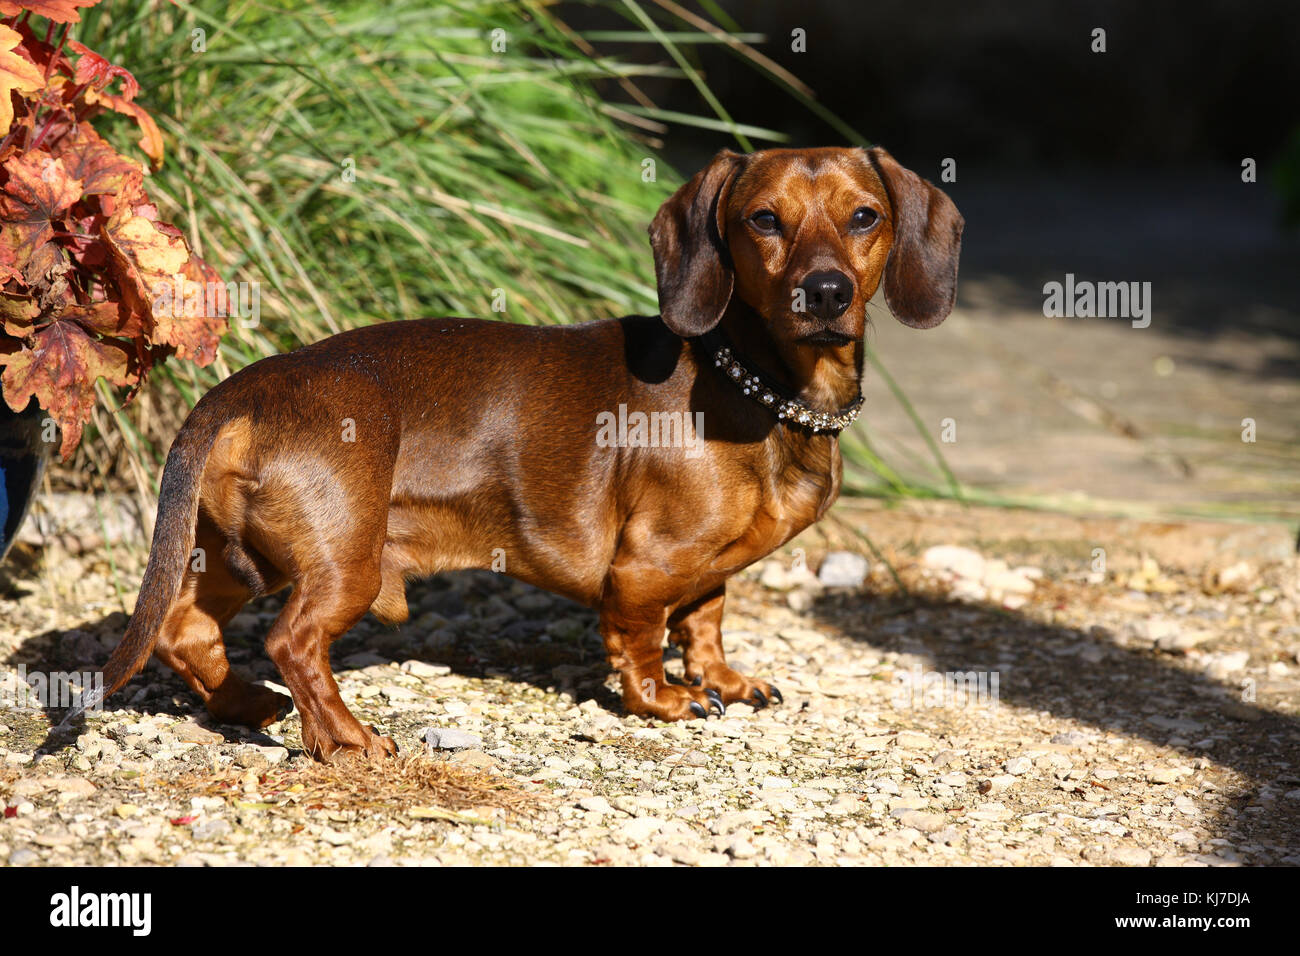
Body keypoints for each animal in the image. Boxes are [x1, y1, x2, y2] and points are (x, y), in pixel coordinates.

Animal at [83, 147, 956, 764]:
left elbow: (705, 617)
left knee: (185, 632)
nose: (826, 294)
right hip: (341, 559)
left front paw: (723, 680)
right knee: (292, 644)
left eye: (865, 216)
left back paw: (243, 706)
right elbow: (643, 637)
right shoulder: (645, 564)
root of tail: (237, 394)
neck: (754, 380)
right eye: (765, 220)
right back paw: (347, 739)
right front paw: (664, 699)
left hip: (241, 554)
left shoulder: (708, 568)